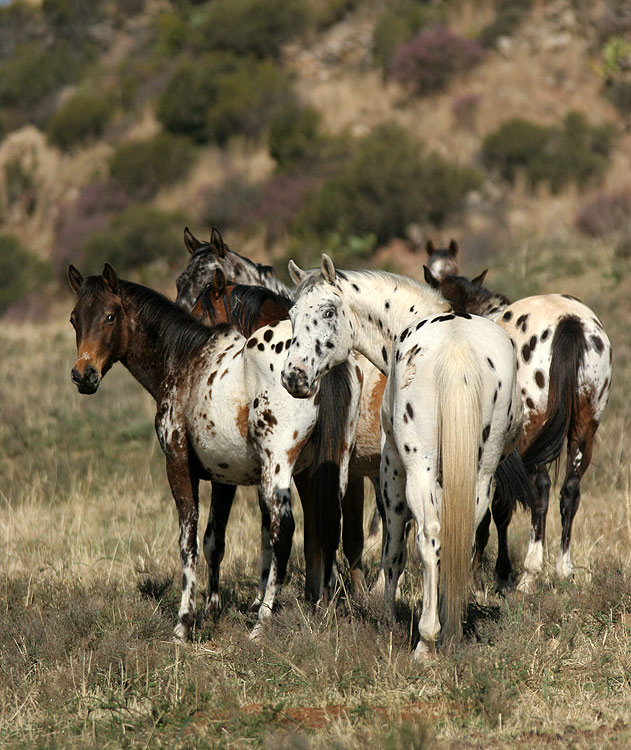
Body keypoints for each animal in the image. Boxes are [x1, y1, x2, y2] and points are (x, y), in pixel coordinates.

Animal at [67, 262, 360, 640]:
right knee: (326, 528)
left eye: (109, 315)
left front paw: (185, 620)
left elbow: (188, 540)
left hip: (278, 468)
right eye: (74, 318)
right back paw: (321, 611)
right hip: (328, 470)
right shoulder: (225, 478)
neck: (185, 361)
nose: (83, 375)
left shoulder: (178, 465)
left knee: (284, 530)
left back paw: (262, 621)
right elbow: (213, 541)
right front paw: (212, 609)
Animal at [282, 258, 528, 656]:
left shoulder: (391, 470)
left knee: (429, 538)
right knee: (462, 536)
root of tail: (455, 348)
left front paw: (387, 615)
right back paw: (451, 630)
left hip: (418, 470)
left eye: (328, 311)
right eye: (292, 314)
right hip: (480, 474)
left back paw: (426, 640)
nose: (294, 376)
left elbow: (392, 550)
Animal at [424, 268, 612, 592]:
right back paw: (563, 569)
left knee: (537, 491)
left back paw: (528, 573)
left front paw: (490, 573)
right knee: (569, 490)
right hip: (585, 427)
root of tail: (569, 320)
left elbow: (494, 510)